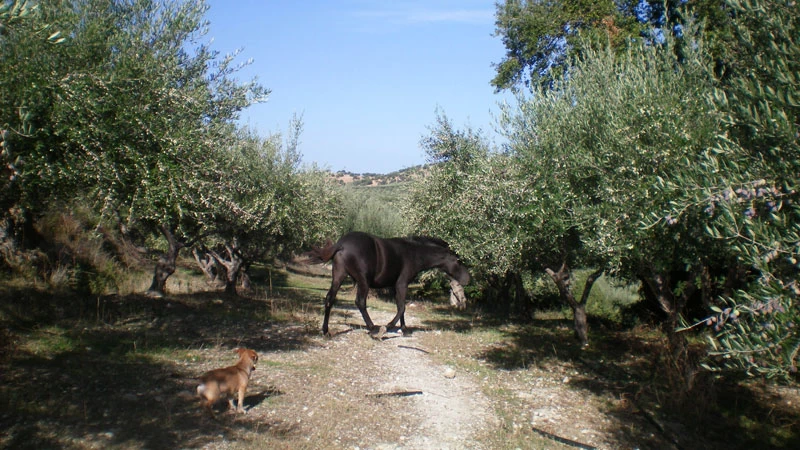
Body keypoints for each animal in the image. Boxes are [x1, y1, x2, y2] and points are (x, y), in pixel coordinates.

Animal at [304, 234, 472, 336]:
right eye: (458, 261)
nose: (467, 280)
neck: (413, 253)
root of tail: (342, 244)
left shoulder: (394, 286)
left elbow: (400, 306)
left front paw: (404, 329)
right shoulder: (402, 284)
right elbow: (402, 307)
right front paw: (389, 326)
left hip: (338, 276)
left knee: (329, 299)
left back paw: (326, 331)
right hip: (363, 281)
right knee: (360, 302)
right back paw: (373, 328)